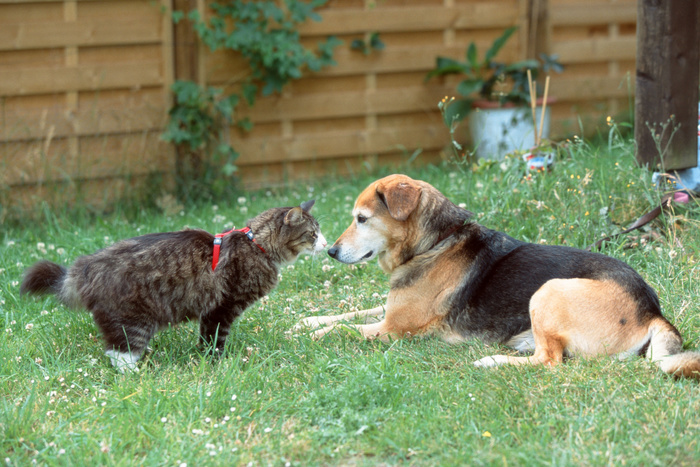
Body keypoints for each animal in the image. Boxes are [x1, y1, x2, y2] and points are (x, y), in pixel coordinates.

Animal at [20, 201, 326, 372]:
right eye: (312, 234)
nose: (325, 243)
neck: (256, 244)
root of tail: (85, 266)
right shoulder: (222, 307)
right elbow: (214, 340)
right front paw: (216, 363)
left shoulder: (212, 311)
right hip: (133, 321)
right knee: (119, 356)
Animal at [298, 174, 700, 378]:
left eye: (361, 219)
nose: (330, 252)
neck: (436, 242)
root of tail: (652, 311)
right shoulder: (389, 312)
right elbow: (347, 313)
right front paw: (307, 321)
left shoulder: (394, 329)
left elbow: (343, 328)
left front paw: (311, 334)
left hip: (548, 291)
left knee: (550, 362)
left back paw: (491, 361)